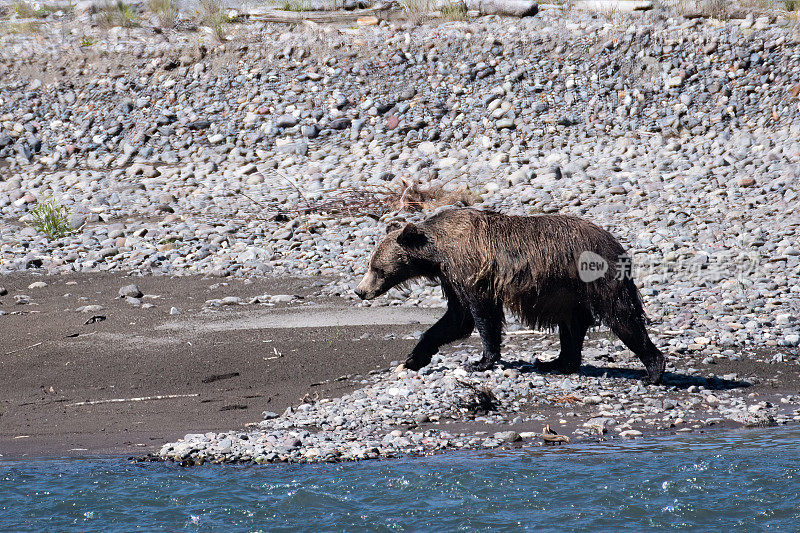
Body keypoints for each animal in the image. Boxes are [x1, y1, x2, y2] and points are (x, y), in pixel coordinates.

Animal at [360, 206, 664, 384]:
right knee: (572, 325)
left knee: (622, 317)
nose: (360, 290)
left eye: (377, 268)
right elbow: (455, 320)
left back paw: (653, 370)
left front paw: (481, 361)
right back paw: (557, 363)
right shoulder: (453, 278)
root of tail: (616, 244)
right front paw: (413, 358)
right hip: (568, 292)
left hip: (596, 278)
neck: (438, 252)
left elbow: (481, 317)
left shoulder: (472, 272)